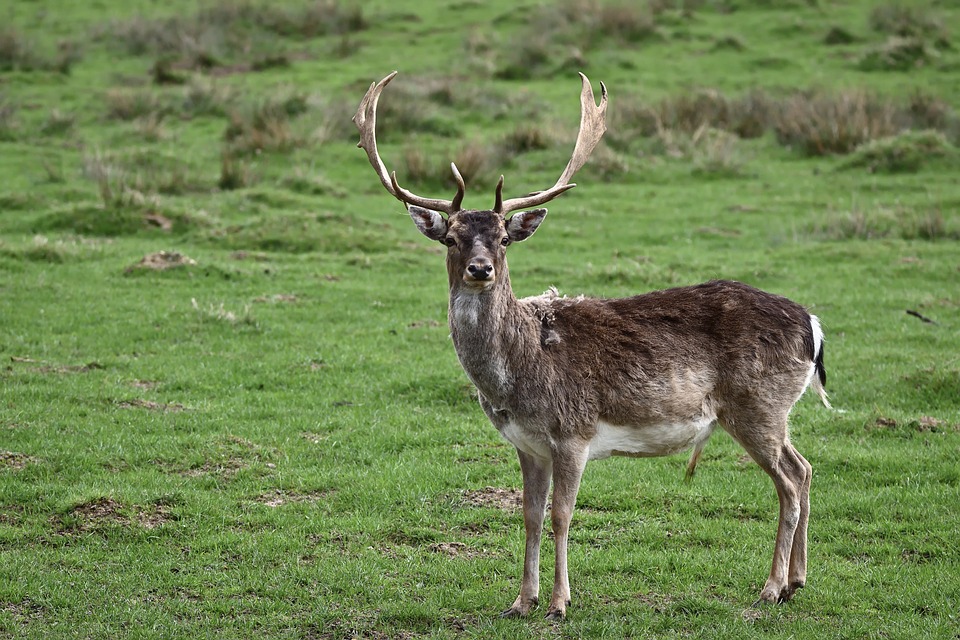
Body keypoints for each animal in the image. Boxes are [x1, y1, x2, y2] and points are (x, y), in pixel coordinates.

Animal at [352, 70, 824, 620]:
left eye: (503, 239)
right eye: (450, 237)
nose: (480, 269)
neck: (517, 375)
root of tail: (814, 327)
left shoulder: (573, 432)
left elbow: (561, 514)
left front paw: (559, 602)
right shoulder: (527, 443)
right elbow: (530, 515)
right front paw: (521, 600)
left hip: (756, 405)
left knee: (788, 482)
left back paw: (770, 588)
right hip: (771, 411)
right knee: (804, 469)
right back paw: (797, 581)